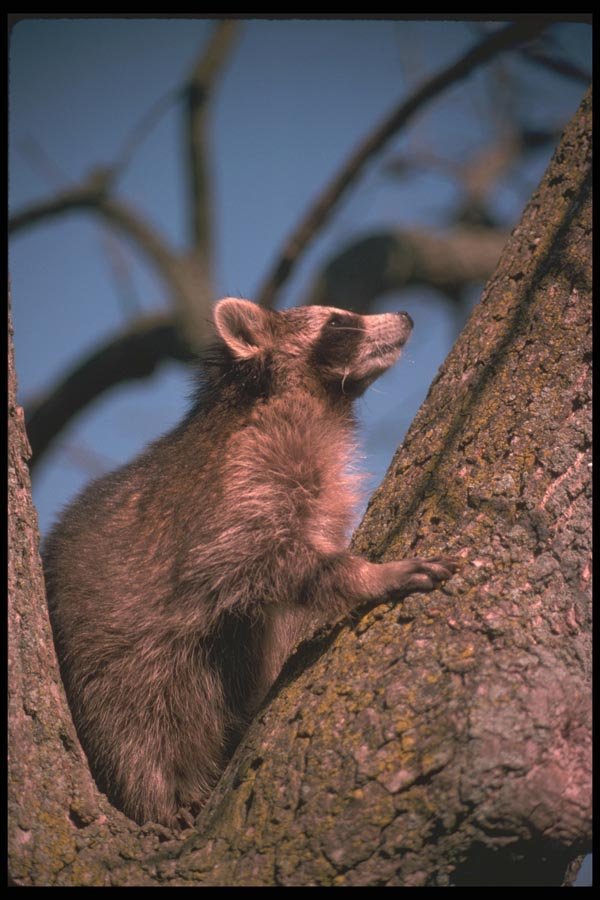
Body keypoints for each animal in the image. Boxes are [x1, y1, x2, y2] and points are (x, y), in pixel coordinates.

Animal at [43, 297, 458, 827]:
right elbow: (261, 562)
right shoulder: (236, 489)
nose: (405, 316)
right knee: (135, 731)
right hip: (110, 658)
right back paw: (159, 798)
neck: (316, 406)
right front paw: (369, 575)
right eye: (338, 320)